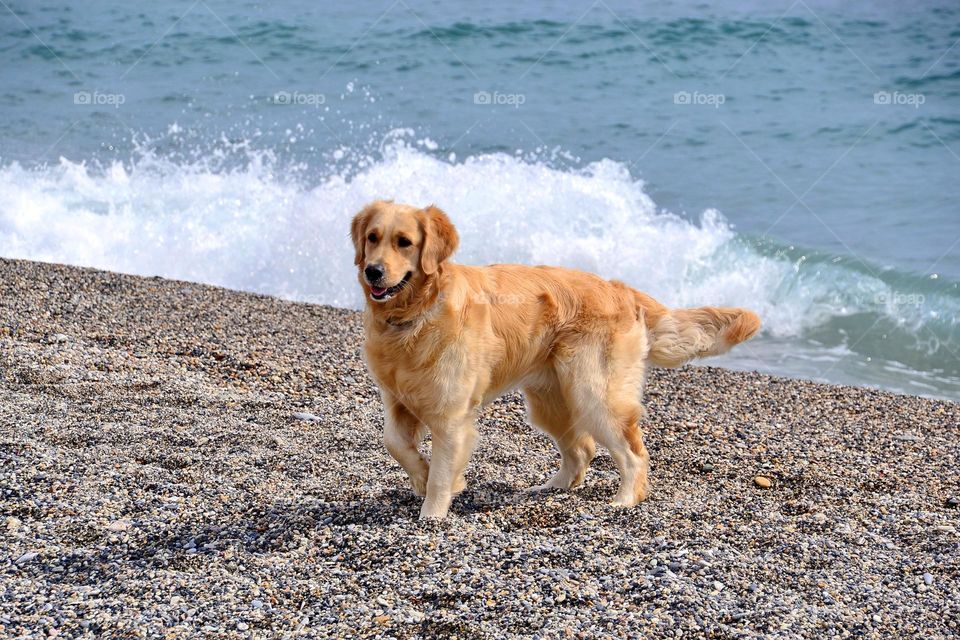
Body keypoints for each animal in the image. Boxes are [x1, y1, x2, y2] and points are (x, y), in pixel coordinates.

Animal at [348, 201, 760, 520]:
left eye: (404, 242)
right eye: (373, 238)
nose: (373, 271)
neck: (413, 316)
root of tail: (620, 289)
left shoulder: (452, 414)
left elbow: (441, 471)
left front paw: (432, 513)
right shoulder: (397, 399)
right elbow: (394, 443)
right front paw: (420, 476)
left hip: (593, 392)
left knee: (632, 453)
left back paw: (625, 500)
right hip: (551, 398)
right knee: (581, 450)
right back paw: (549, 488)